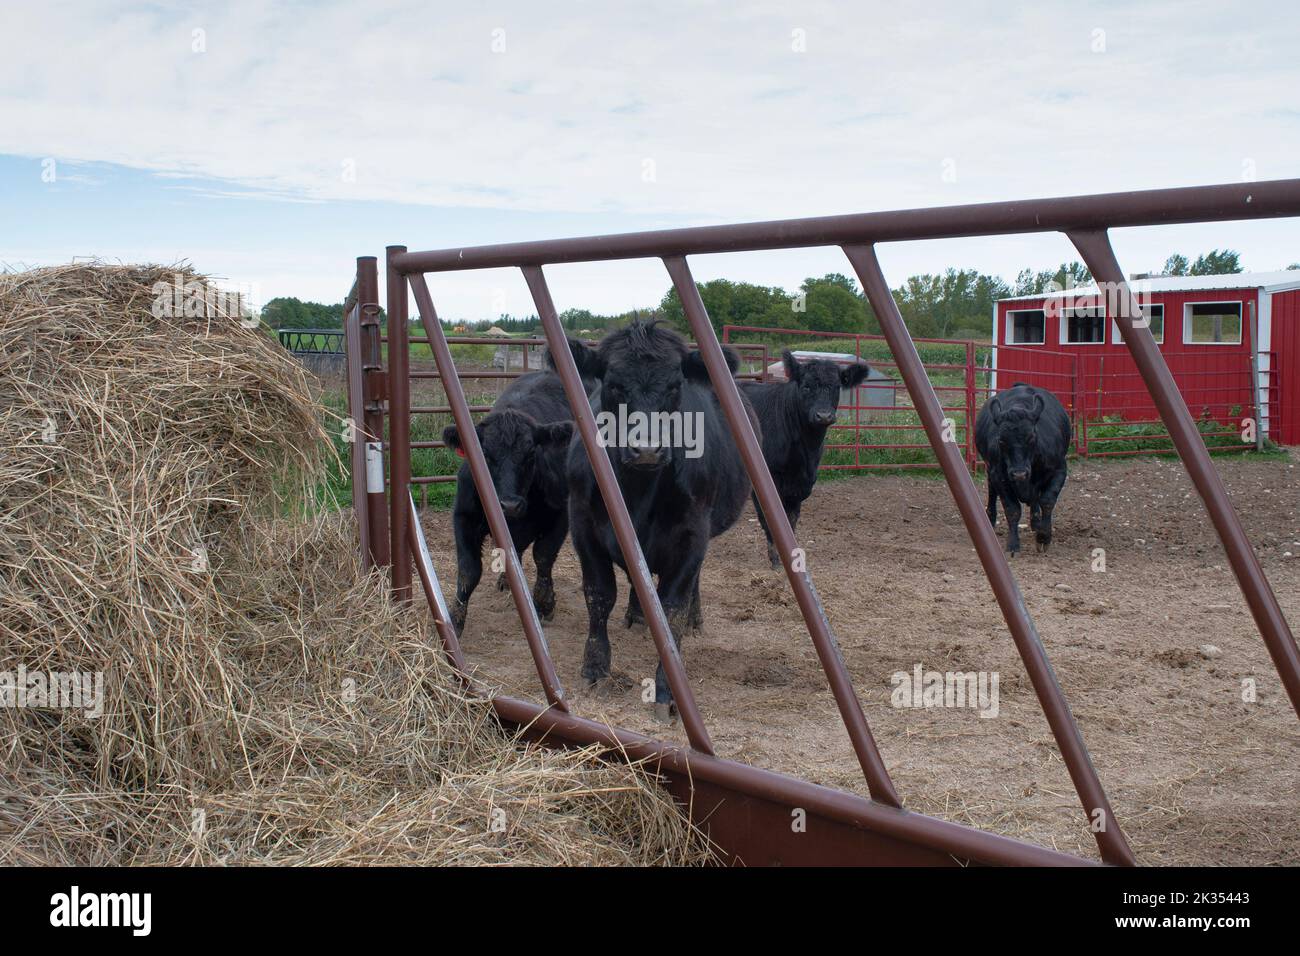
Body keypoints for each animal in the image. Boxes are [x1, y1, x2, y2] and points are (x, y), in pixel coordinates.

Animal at [441, 340, 599, 634]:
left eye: (530, 453)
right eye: (485, 454)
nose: (510, 505)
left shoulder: (560, 515)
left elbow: (543, 556)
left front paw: (544, 603)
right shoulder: (464, 516)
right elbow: (469, 571)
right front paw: (455, 618)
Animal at [564, 320, 755, 719]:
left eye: (675, 385)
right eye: (613, 383)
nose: (648, 449)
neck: (638, 489)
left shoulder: (692, 536)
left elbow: (672, 611)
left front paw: (668, 689)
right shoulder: (583, 525)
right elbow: (599, 594)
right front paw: (595, 668)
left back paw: (694, 620)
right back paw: (637, 615)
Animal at [739, 350, 872, 567]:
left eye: (837, 386)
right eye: (806, 386)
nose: (824, 415)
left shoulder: (802, 483)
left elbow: (791, 519)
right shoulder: (765, 478)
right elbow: (770, 518)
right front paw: (774, 557)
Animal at [975, 382, 1072, 556]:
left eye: (1032, 437)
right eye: (1001, 440)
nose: (1019, 474)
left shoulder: (1059, 470)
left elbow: (1047, 501)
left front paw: (1043, 536)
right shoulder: (999, 476)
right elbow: (1012, 509)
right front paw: (1013, 543)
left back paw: (1036, 522)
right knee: (992, 492)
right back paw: (991, 519)